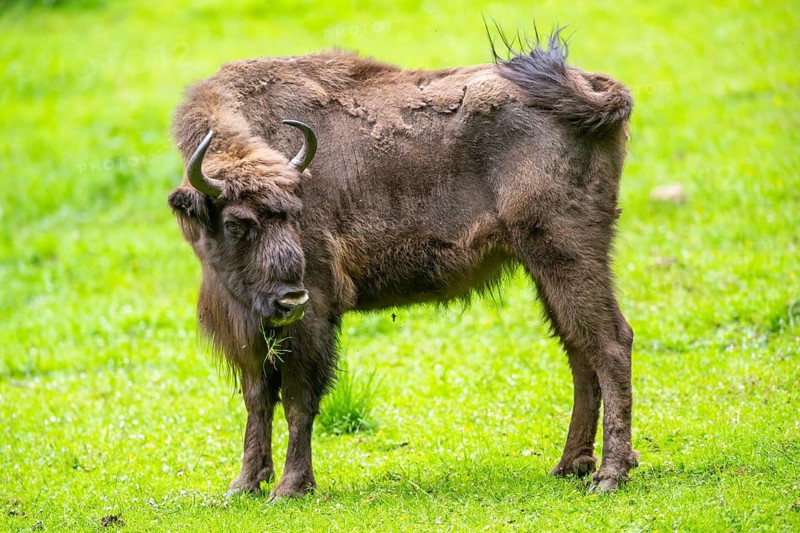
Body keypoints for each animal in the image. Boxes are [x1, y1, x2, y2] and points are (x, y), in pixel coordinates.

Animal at [168, 29, 637, 499]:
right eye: (236, 223)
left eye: (293, 212)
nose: (289, 299)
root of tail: (590, 89)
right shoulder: (248, 326)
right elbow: (257, 398)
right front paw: (244, 484)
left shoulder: (313, 314)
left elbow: (299, 401)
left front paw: (290, 487)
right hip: (546, 267)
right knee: (579, 349)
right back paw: (570, 465)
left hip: (566, 253)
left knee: (611, 344)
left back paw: (609, 475)